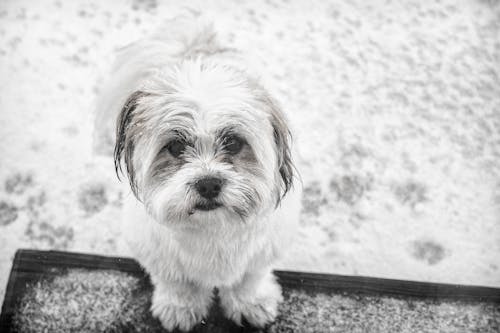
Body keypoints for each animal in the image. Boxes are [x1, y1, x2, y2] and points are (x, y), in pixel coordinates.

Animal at [96, 14, 300, 330]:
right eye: (176, 146)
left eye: (233, 142)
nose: (208, 184)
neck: (211, 229)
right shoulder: (159, 255)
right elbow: (179, 284)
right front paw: (180, 308)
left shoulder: (261, 252)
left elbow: (248, 279)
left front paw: (250, 303)